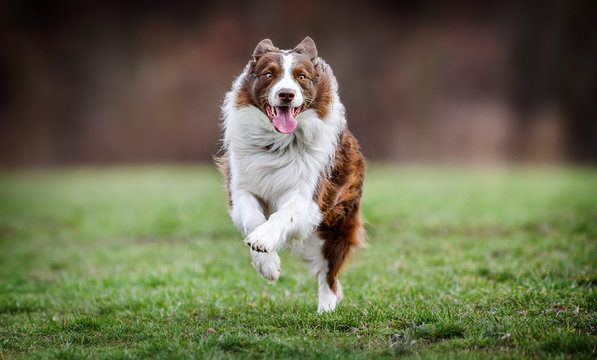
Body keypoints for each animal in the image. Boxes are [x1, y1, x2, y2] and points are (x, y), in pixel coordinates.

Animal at [215, 37, 364, 312]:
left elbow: (284, 215)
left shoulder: (309, 196)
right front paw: (268, 265)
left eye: (301, 76)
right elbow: (252, 217)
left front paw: (264, 239)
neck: (279, 144)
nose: (286, 94)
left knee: (329, 273)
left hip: (337, 222)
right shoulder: (240, 186)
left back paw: (326, 309)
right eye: (269, 74)